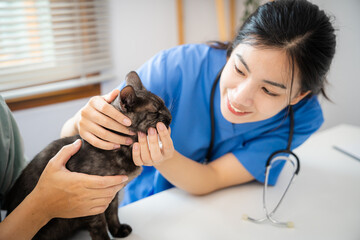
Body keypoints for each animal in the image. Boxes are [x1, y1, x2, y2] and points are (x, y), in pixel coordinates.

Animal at [4, 71, 172, 240]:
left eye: (164, 105)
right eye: (155, 112)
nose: (170, 116)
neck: (124, 149)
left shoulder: (112, 194)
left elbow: (113, 213)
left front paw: (118, 230)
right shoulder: (91, 200)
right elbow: (99, 225)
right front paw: (105, 237)